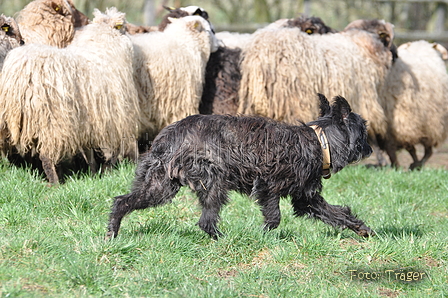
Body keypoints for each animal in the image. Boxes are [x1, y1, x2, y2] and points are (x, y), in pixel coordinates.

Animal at [0, 7, 140, 183]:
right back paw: (56, 183)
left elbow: (90, 152)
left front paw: (93, 173)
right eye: (125, 28)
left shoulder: (90, 121)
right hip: (50, 120)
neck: (102, 44)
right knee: (47, 156)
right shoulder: (112, 117)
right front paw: (105, 172)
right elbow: (108, 151)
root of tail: (19, 72)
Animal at [108, 94, 374, 239]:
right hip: (213, 183)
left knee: (122, 202)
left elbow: (337, 213)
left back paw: (111, 233)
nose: (371, 150)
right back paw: (224, 239)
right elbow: (274, 218)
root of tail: (169, 136)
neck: (320, 141)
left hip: (159, 186)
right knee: (206, 221)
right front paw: (262, 235)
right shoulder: (268, 186)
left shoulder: (305, 197)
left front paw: (362, 229)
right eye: (363, 130)